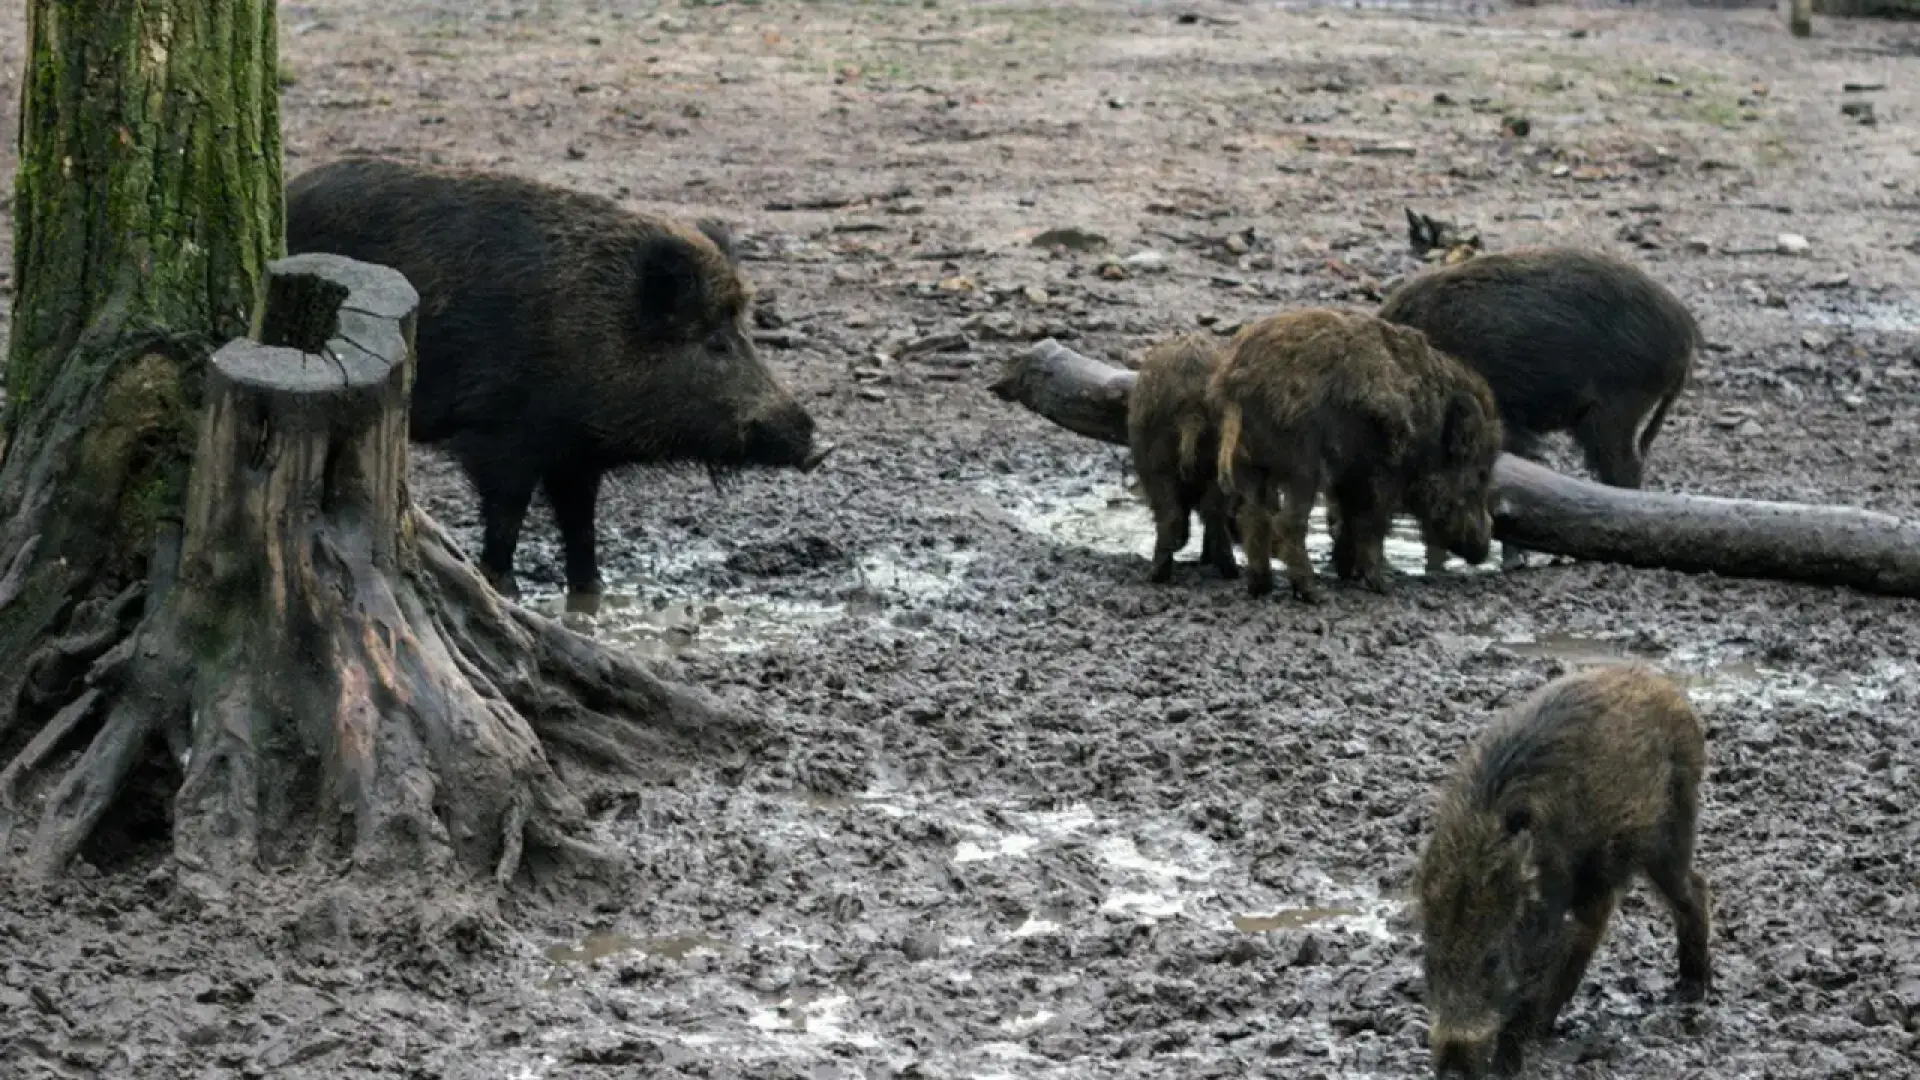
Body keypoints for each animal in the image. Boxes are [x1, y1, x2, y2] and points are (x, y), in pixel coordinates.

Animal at [285, 158, 830, 600]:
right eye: (715, 343)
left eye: (745, 332)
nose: (820, 447)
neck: (600, 330)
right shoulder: (501, 436)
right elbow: (506, 518)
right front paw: (504, 588)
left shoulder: (576, 458)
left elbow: (580, 528)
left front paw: (591, 590)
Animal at [1126, 333, 1240, 583]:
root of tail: (1191, 408)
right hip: (1216, 461)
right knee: (1212, 514)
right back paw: (1230, 572)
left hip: (1156, 465)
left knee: (1171, 516)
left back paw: (1155, 575)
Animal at [1207, 308, 1502, 603]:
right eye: (1481, 474)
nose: (1483, 549)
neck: (1430, 432)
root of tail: (1236, 382)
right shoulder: (1382, 477)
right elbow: (1373, 525)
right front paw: (1379, 586)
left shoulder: (1350, 478)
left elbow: (1349, 522)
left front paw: (1347, 573)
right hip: (1302, 466)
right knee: (1287, 523)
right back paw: (1313, 594)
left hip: (1250, 465)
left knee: (1253, 517)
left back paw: (1261, 587)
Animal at [1415, 664, 1712, 1077]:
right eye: (1430, 960)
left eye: (1492, 960)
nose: (1454, 1070)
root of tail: (1669, 689)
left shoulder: (1546, 925)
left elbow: (1528, 990)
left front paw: (1507, 1066)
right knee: (1598, 921)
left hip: (1670, 834)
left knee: (1693, 889)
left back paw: (1690, 990)